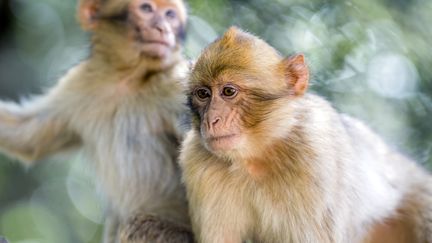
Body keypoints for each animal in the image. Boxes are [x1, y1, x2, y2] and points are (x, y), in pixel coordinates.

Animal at [0, 0, 193, 243]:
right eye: (146, 9)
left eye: (170, 15)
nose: (163, 28)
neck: (128, 78)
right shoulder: (80, 82)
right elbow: (28, 137)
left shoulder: (176, 82)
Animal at [179, 26, 432, 243]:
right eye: (203, 94)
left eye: (228, 91)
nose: (211, 120)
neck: (255, 158)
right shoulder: (197, 162)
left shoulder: (313, 156)